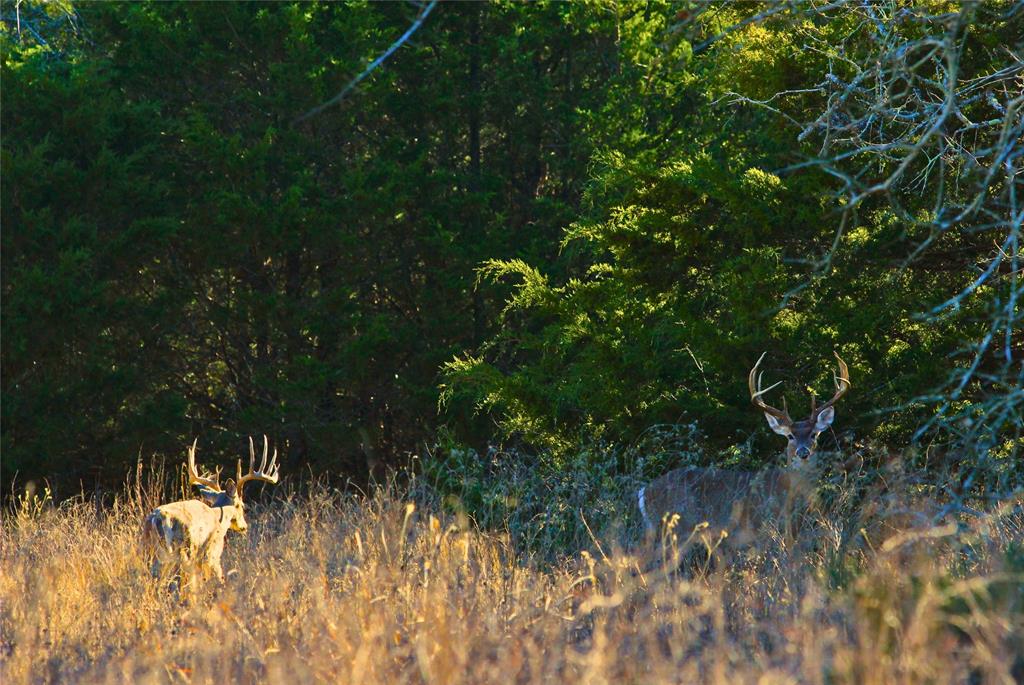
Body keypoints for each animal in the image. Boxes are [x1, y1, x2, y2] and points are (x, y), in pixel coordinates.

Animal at [143, 436, 280, 585]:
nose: (244, 526)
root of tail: (157, 518)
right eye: (242, 505)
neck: (219, 517)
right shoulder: (213, 550)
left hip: (150, 548)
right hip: (184, 549)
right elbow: (216, 577)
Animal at [638, 356, 847, 548]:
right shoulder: (762, 526)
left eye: (814, 434)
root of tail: (644, 492)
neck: (790, 492)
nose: (803, 452)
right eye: (790, 436)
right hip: (677, 527)